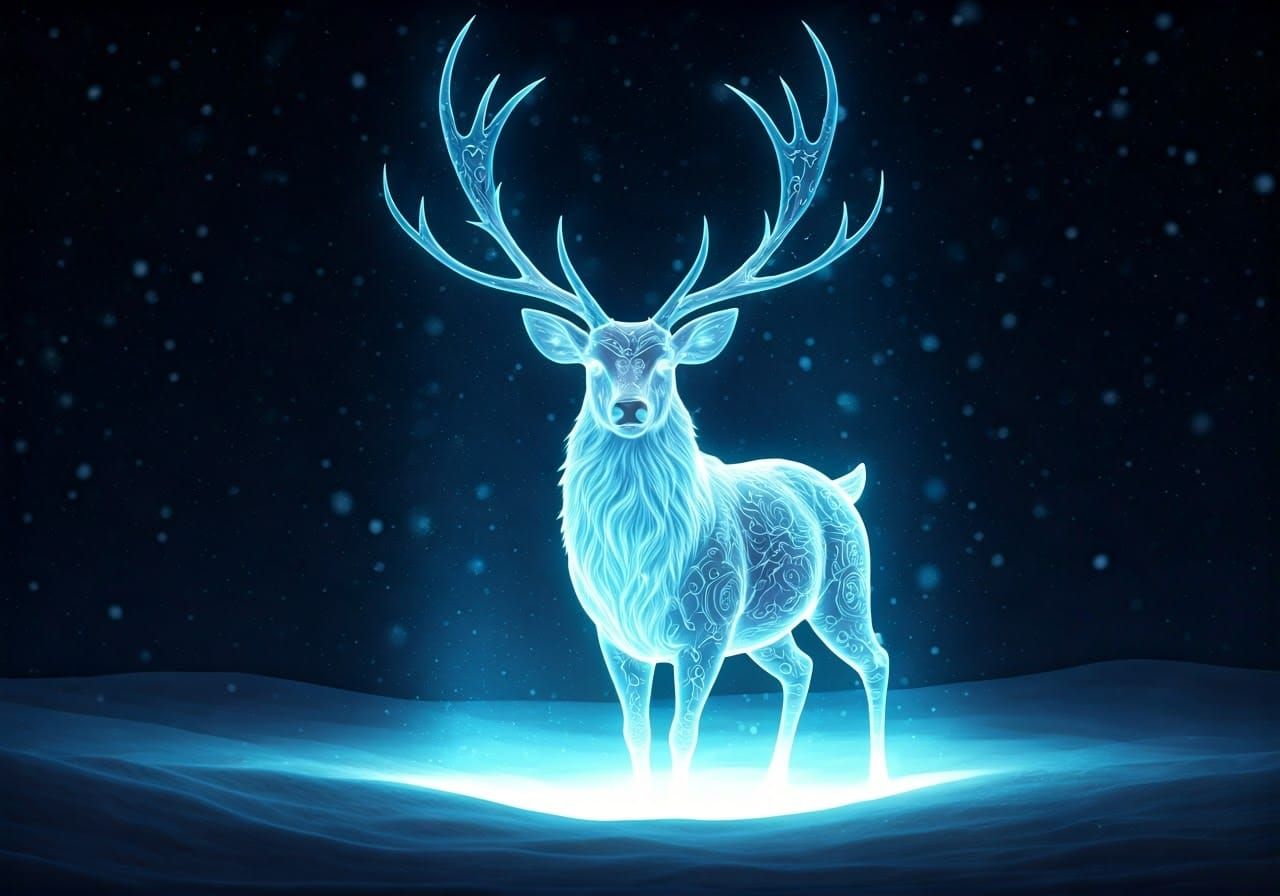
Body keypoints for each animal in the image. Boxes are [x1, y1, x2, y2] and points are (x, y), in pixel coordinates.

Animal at [383, 18, 889, 788]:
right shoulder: (612, 635)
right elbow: (634, 732)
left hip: (843, 588)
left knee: (875, 658)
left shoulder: (704, 629)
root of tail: (841, 484)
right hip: (763, 628)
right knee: (798, 668)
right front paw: (640, 799)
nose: (628, 410)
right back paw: (774, 780)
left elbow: (684, 734)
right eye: (592, 364)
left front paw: (678, 803)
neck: (639, 564)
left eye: (669, 365)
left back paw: (879, 777)